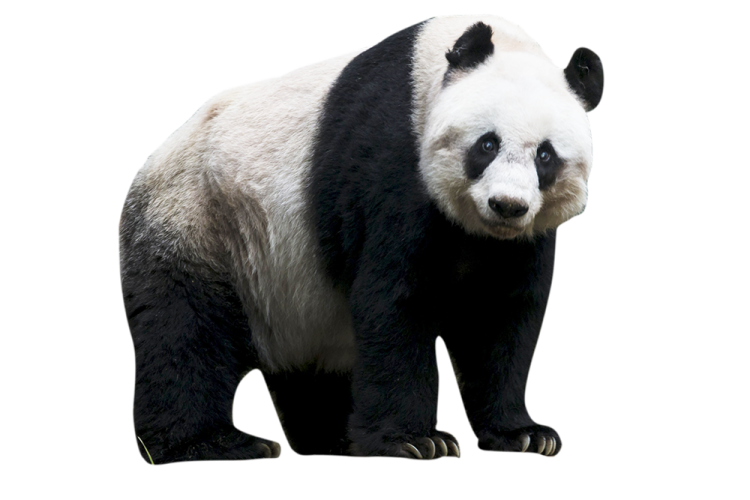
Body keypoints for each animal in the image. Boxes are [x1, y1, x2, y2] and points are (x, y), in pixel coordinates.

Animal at [119, 14, 604, 465]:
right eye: (487, 145)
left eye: (546, 156)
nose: (507, 205)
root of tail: (152, 160)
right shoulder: (392, 160)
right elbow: (395, 300)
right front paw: (418, 441)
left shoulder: (519, 239)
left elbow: (497, 315)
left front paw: (526, 434)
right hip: (201, 219)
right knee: (186, 333)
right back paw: (217, 444)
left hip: (293, 289)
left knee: (311, 364)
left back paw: (334, 438)